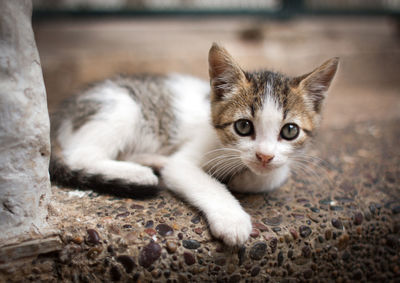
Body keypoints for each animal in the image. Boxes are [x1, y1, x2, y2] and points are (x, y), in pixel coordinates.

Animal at [49, 43, 338, 246]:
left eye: (290, 131)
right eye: (243, 127)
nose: (264, 156)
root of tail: (61, 115)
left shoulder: (279, 163)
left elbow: (274, 175)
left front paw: (245, 177)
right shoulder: (185, 162)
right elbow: (204, 182)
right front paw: (232, 220)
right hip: (121, 107)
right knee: (80, 155)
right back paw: (138, 173)